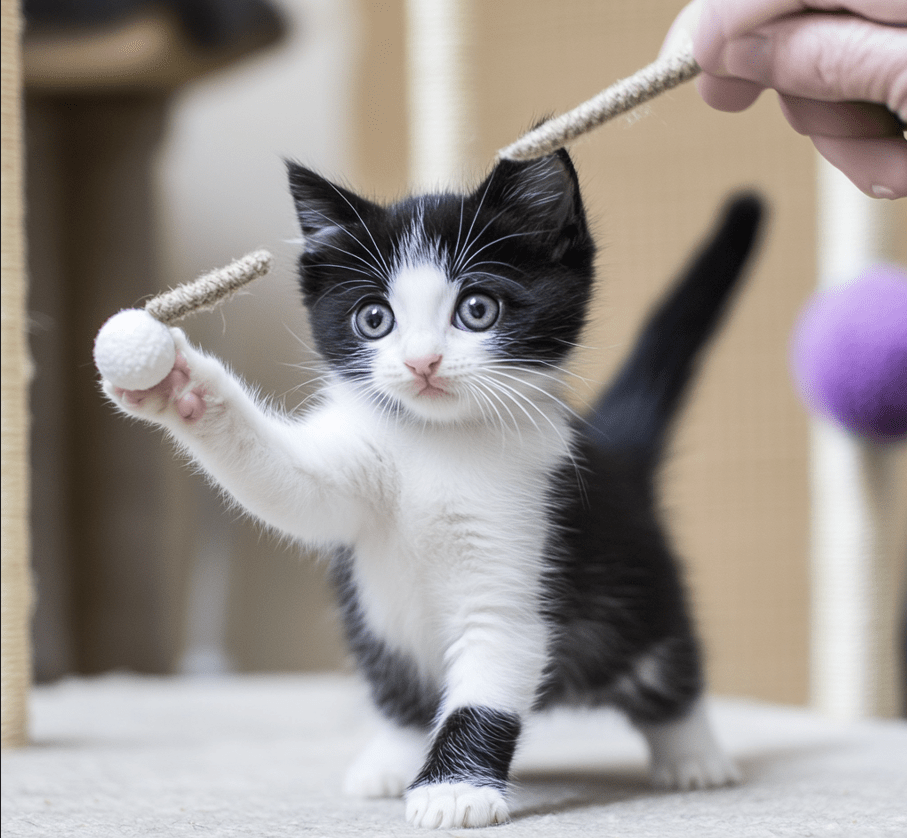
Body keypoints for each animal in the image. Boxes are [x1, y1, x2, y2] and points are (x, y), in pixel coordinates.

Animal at [103, 153, 764, 832]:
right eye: (374, 318)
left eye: (477, 310)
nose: (422, 363)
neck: (436, 446)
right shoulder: (347, 472)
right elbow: (288, 487)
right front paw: (179, 386)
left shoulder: (520, 555)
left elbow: (488, 680)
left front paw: (453, 790)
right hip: (379, 625)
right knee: (401, 687)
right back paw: (391, 758)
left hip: (637, 595)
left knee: (668, 670)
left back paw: (694, 756)